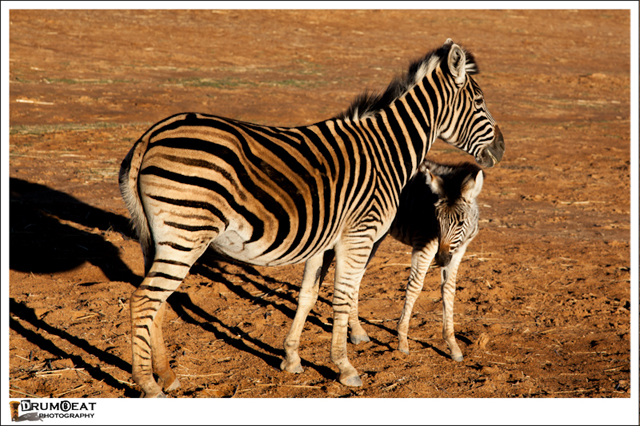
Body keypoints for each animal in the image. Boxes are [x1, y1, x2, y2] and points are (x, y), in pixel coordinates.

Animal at [117, 39, 502, 396]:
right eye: (479, 102)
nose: (501, 148)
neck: (386, 150)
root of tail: (151, 135)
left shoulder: (324, 241)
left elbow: (308, 296)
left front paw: (291, 358)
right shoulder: (359, 236)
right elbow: (344, 297)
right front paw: (345, 367)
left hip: (164, 238)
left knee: (159, 304)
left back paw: (167, 376)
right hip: (186, 232)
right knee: (144, 300)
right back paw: (147, 384)